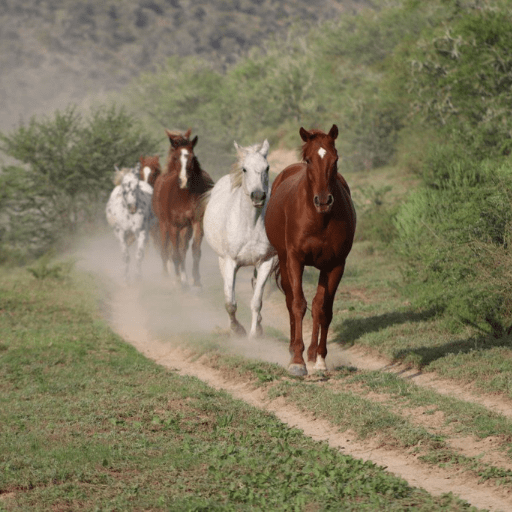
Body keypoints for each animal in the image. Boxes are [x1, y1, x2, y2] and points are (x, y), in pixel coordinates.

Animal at [153, 129, 215, 288]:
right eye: (175, 157)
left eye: (192, 158)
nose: (184, 181)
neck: (184, 195)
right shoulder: (173, 225)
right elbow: (174, 252)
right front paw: (177, 281)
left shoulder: (196, 223)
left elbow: (195, 251)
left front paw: (196, 281)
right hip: (164, 224)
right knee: (165, 247)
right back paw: (167, 275)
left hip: (186, 228)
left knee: (183, 249)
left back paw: (184, 277)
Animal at [203, 140, 276, 338]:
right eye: (244, 169)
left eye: (267, 167)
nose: (258, 196)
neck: (250, 225)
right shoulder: (230, 262)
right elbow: (230, 303)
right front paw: (237, 330)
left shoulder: (266, 262)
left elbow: (256, 301)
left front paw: (254, 333)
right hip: (223, 261)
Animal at [264, 125, 356, 376]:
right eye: (308, 160)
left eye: (335, 159)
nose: (323, 201)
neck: (319, 219)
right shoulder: (295, 259)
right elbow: (298, 304)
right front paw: (297, 361)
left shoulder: (335, 264)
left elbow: (323, 308)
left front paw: (320, 360)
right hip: (284, 259)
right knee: (290, 300)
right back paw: (292, 351)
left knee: (316, 305)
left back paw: (313, 354)